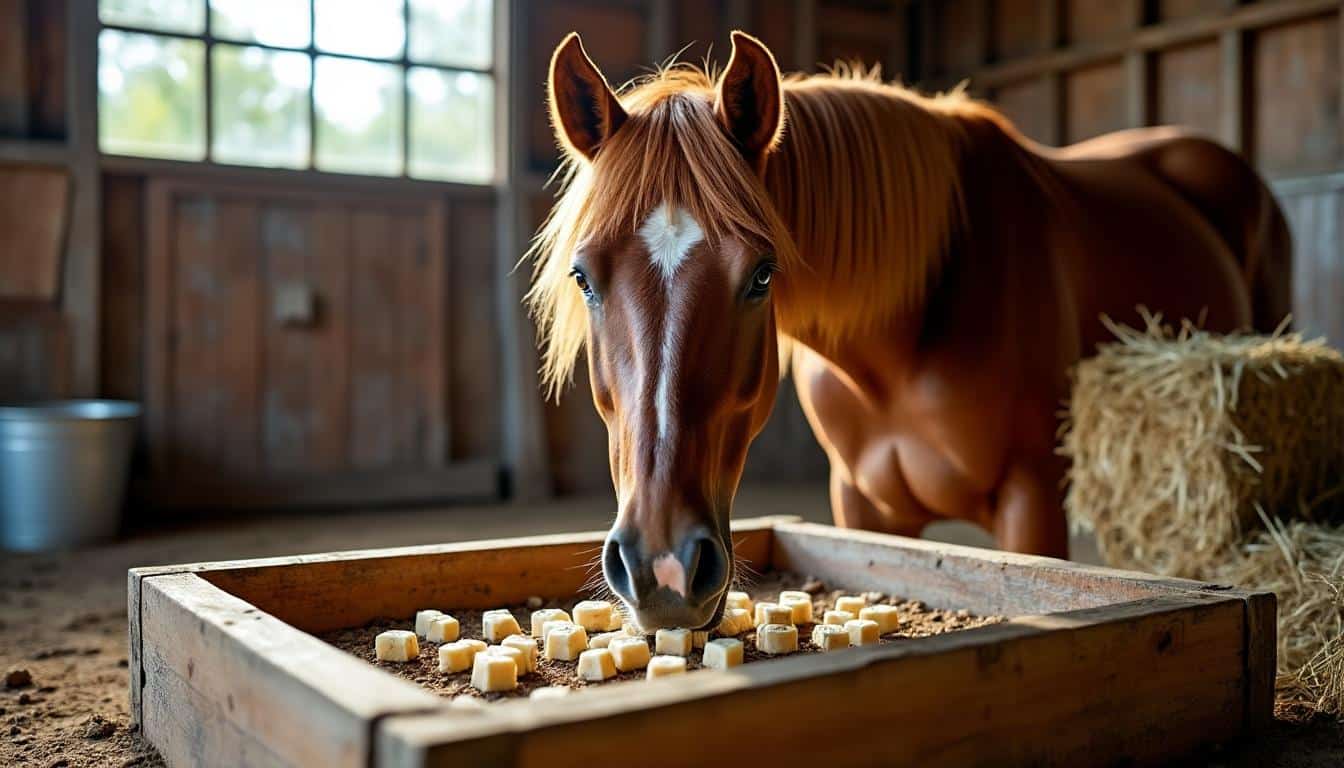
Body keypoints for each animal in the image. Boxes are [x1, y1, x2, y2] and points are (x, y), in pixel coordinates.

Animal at [530, 31, 1292, 631]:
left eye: (762, 274)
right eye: (583, 277)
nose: (662, 567)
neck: (904, 336)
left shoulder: (1032, 501)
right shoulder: (862, 505)